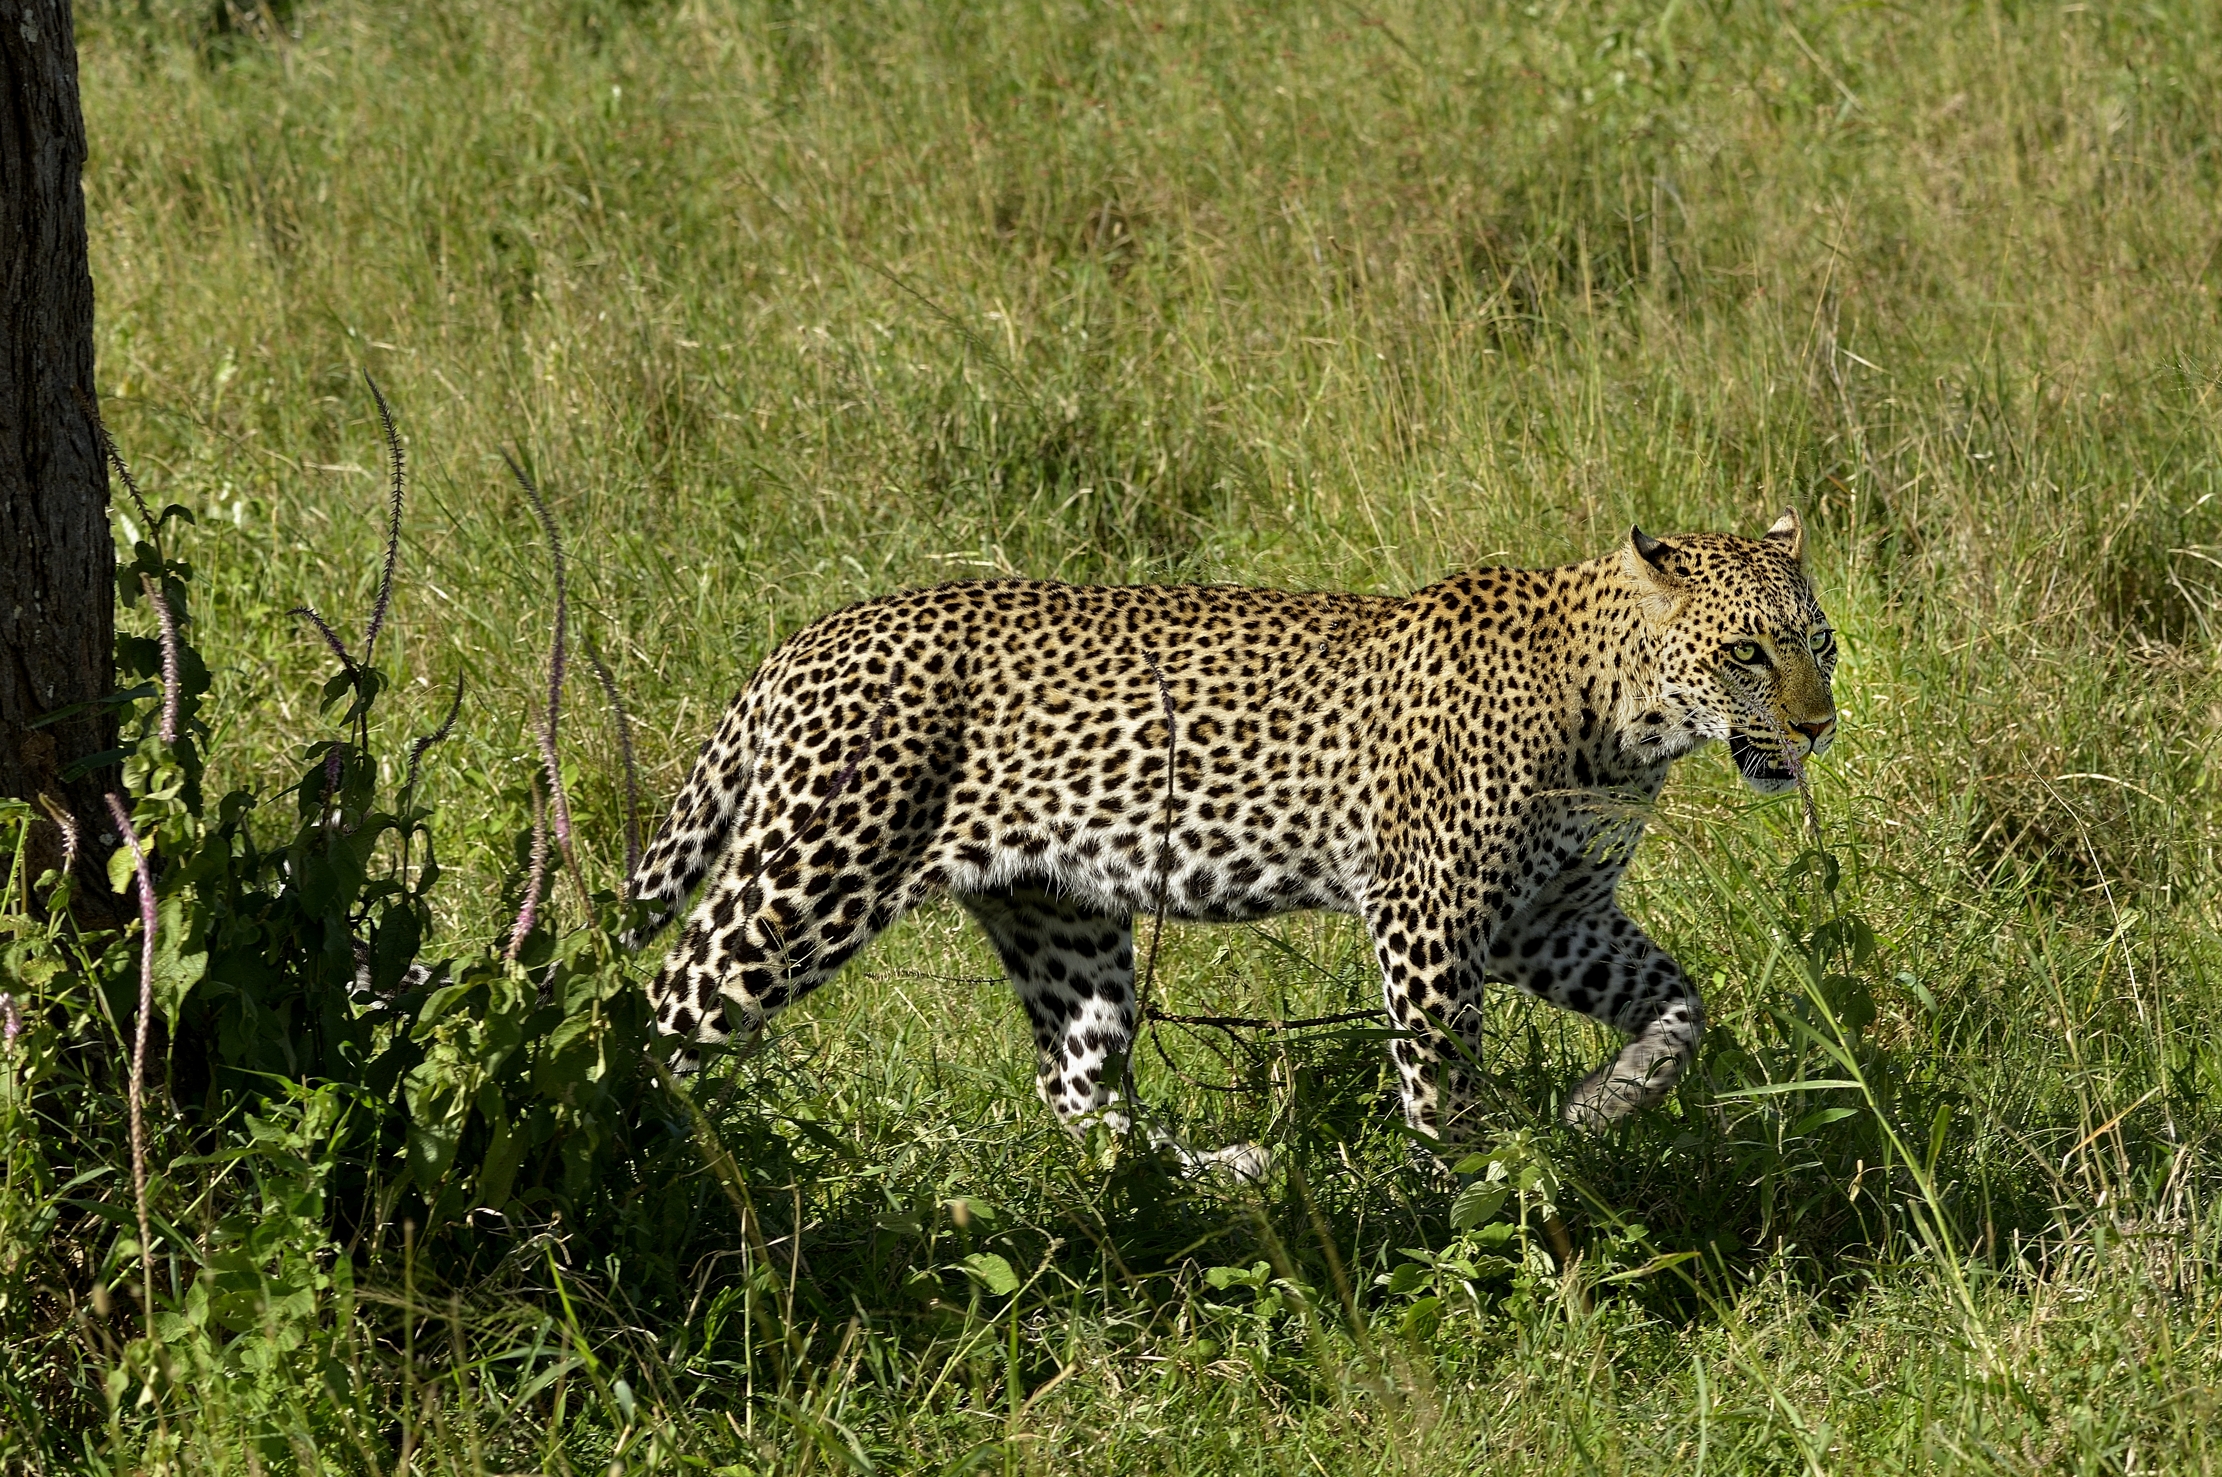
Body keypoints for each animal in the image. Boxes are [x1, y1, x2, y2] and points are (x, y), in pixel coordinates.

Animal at [624, 509, 1838, 1156]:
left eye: (1818, 642)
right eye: (1746, 652)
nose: (1818, 725)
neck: (1626, 727)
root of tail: (803, 639)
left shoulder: (1551, 915)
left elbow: (1680, 1007)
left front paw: (1600, 1105)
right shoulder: (1430, 913)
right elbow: (1440, 1078)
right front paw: (1464, 1207)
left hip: (1063, 921)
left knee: (1077, 1093)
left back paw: (1206, 1175)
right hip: (810, 874)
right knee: (663, 1005)